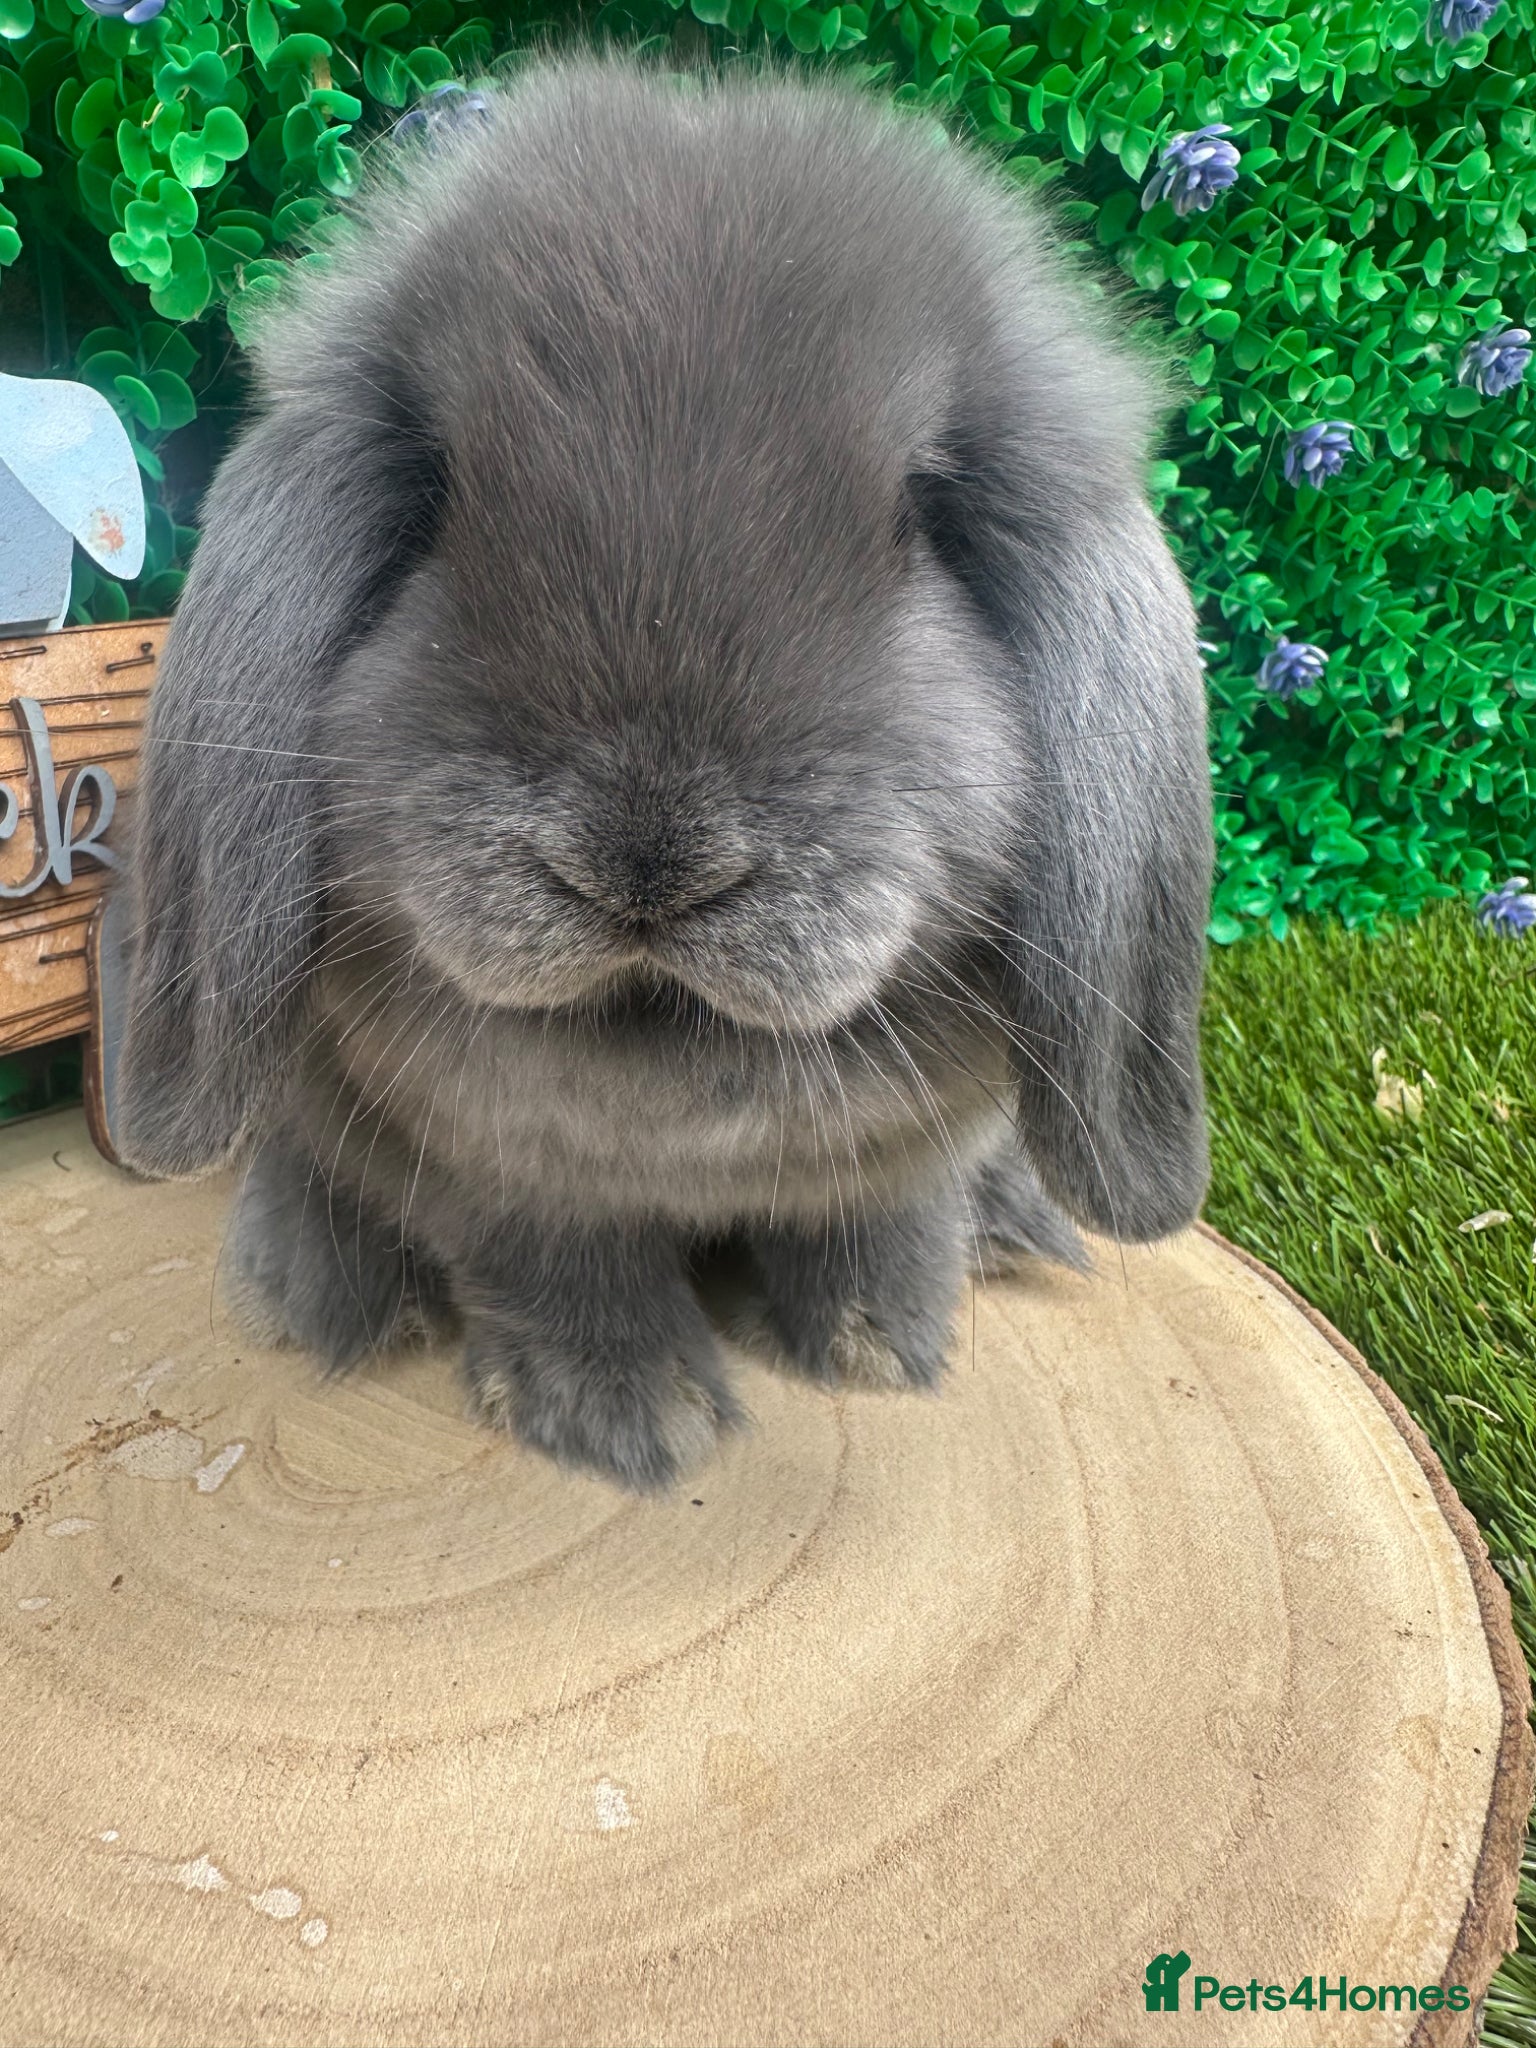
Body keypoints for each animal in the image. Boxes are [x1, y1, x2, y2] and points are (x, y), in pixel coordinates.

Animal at [113, 46, 1214, 1492]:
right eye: (435, 495)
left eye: (926, 511)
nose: (644, 861)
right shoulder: (496, 1173)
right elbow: (559, 1266)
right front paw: (632, 1416)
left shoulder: (908, 1152)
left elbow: (884, 1218)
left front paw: (885, 1342)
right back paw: (332, 1293)